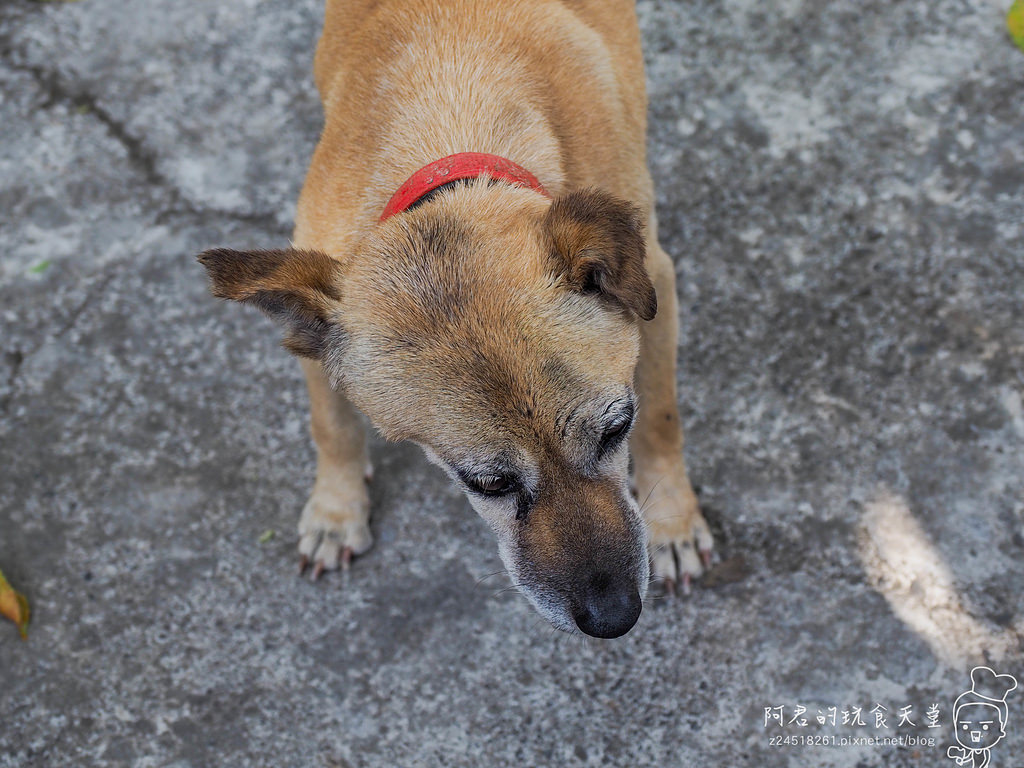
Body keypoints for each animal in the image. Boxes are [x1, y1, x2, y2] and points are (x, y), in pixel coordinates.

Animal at [197, 0, 712, 638]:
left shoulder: (655, 284)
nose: (615, 617)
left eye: (617, 430)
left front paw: (673, 523)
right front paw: (336, 511)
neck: (453, 117)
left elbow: (663, 417)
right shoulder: (315, 335)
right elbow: (332, 426)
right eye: (487, 483)